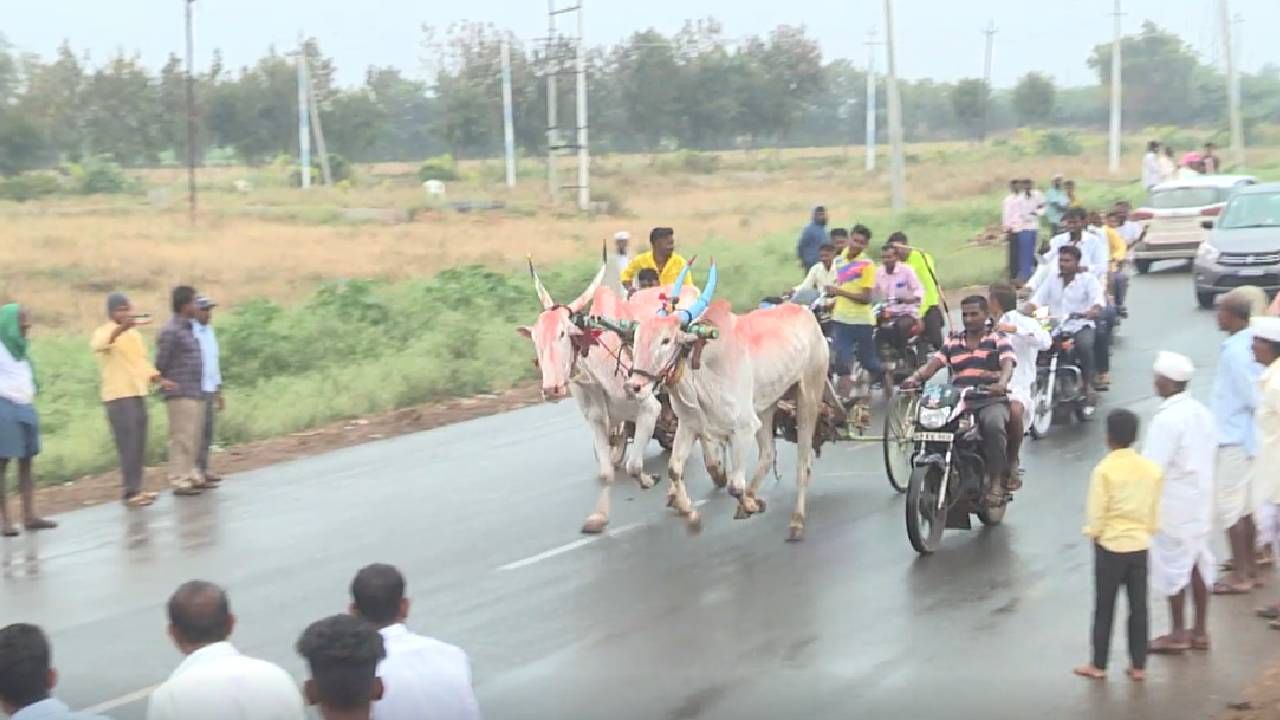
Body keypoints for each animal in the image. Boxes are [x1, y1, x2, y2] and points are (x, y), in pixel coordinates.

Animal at [622, 262, 824, 538]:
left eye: (665, 339)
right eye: (637, 337)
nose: (634, 386)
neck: (700, 372)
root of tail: (807, 314)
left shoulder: (743, 429)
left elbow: (734, 486)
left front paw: (749, 504)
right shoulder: (689, 425)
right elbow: (674, 469)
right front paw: (692, 516)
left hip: (809, 396)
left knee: (804, 463)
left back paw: (796, 521)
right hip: (766, 408)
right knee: (768, 454)